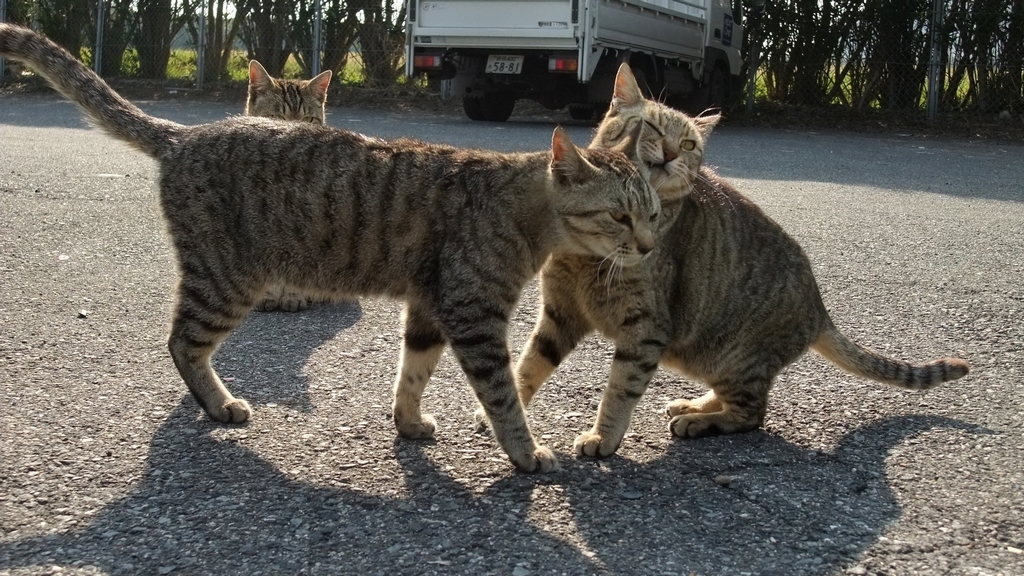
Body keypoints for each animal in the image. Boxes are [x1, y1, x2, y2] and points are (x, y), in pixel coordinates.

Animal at [509, 62, 966, 455]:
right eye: (652, 127)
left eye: (689, 144)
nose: (672, 153)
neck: (585, 247)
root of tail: (820, 309)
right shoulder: (560, 311)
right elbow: (528, 364)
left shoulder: (645, 328)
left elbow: (621, 388)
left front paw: (602, 436)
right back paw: (694, 405)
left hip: (731, 357)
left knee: (752, 414)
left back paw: (698, 421)